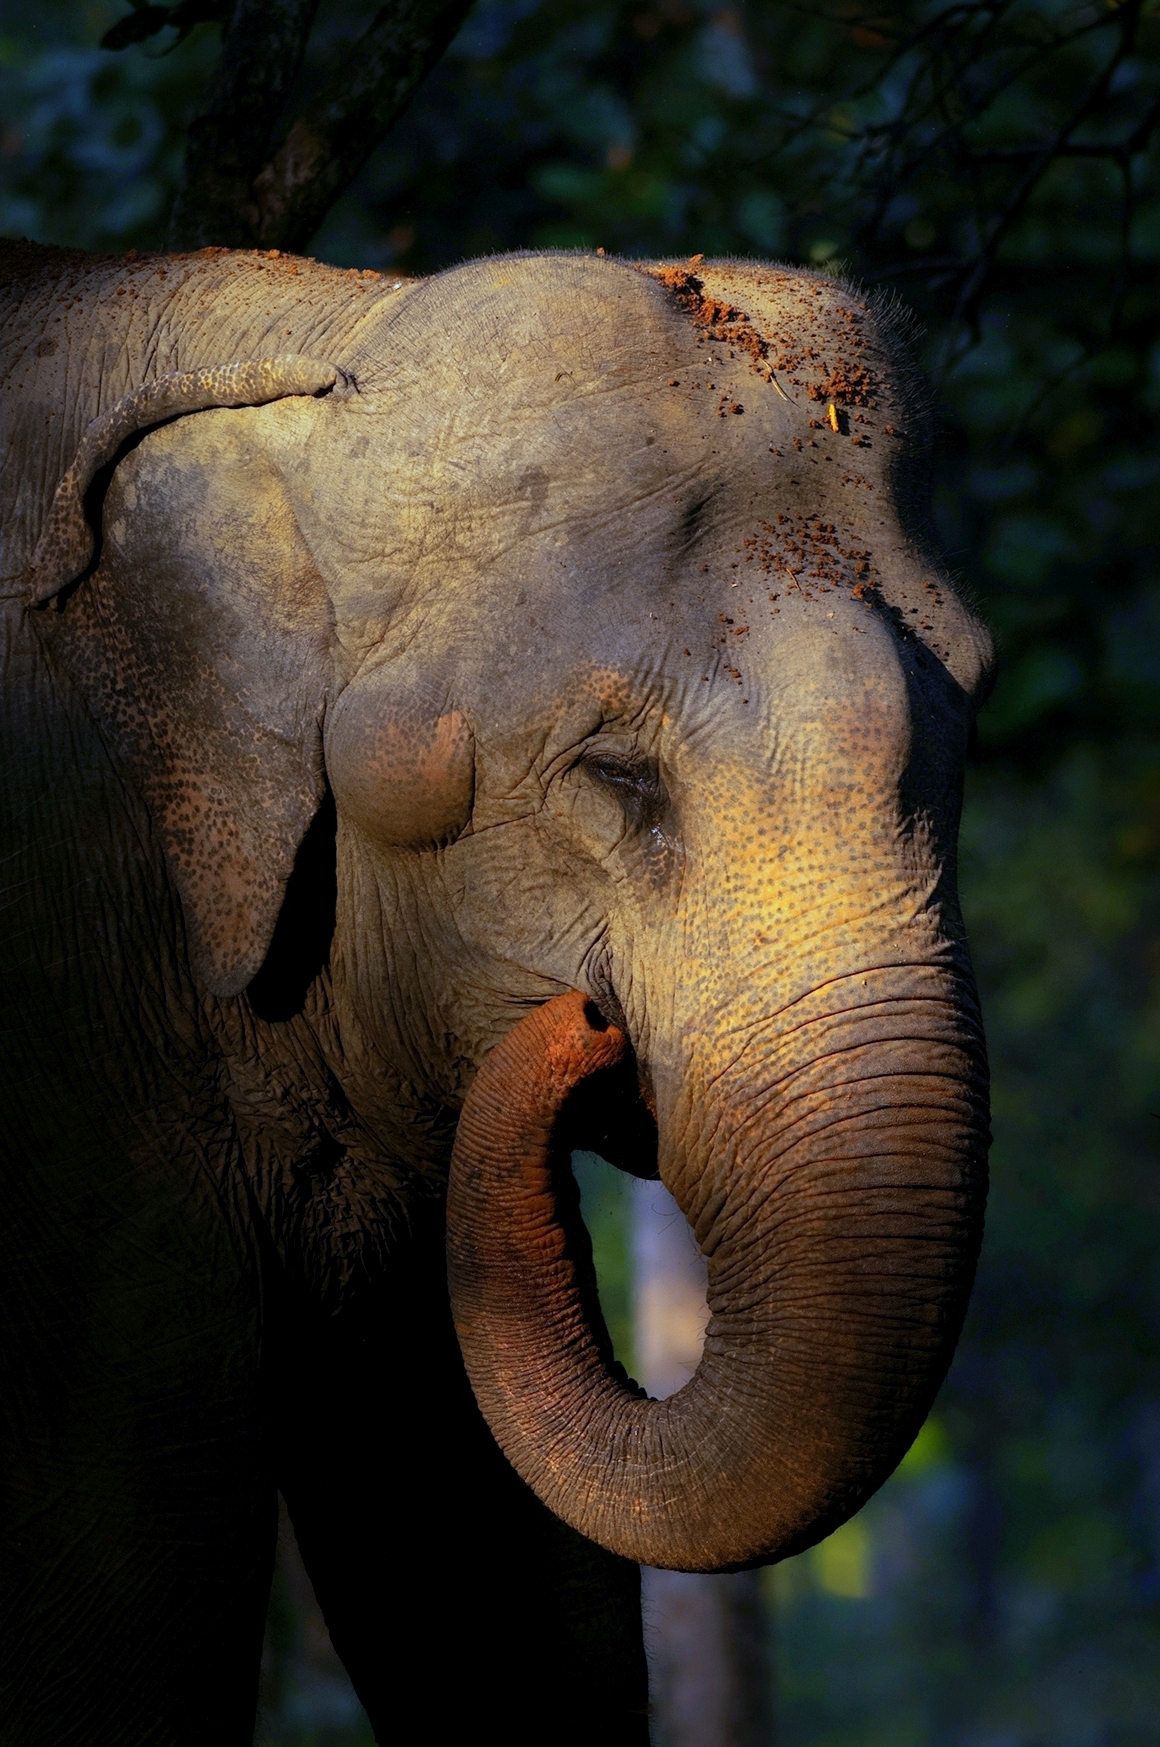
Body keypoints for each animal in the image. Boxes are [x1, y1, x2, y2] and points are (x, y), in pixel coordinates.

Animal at [0, 237, 992, 1745]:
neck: (321, 334)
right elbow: (125, 1589)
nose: (585, 1021)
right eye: (613, 773)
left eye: (968, 735)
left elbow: (486, 1557)